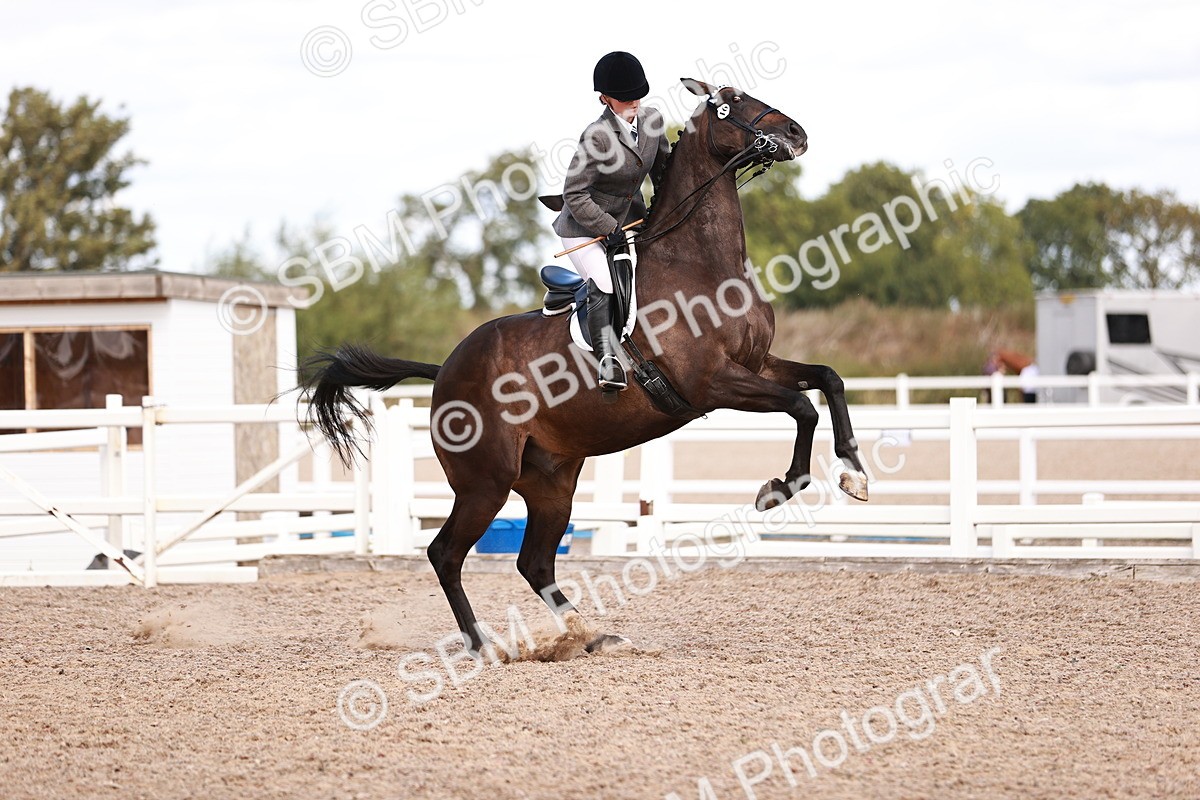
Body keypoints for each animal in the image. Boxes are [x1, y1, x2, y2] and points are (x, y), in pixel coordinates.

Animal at [303, 78, 869, 654]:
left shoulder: (757, 364)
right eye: (728, 102)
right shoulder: (713, 383)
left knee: (534, 562)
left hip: (552, 482)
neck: (700, 261)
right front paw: (779, 488)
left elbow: (827, 380)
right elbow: (801, 406)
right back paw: (485, 647)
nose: (796, 133)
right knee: (446, 554)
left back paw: (589, 634)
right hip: (486, 483)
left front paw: (854, 473)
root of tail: (444, 371)